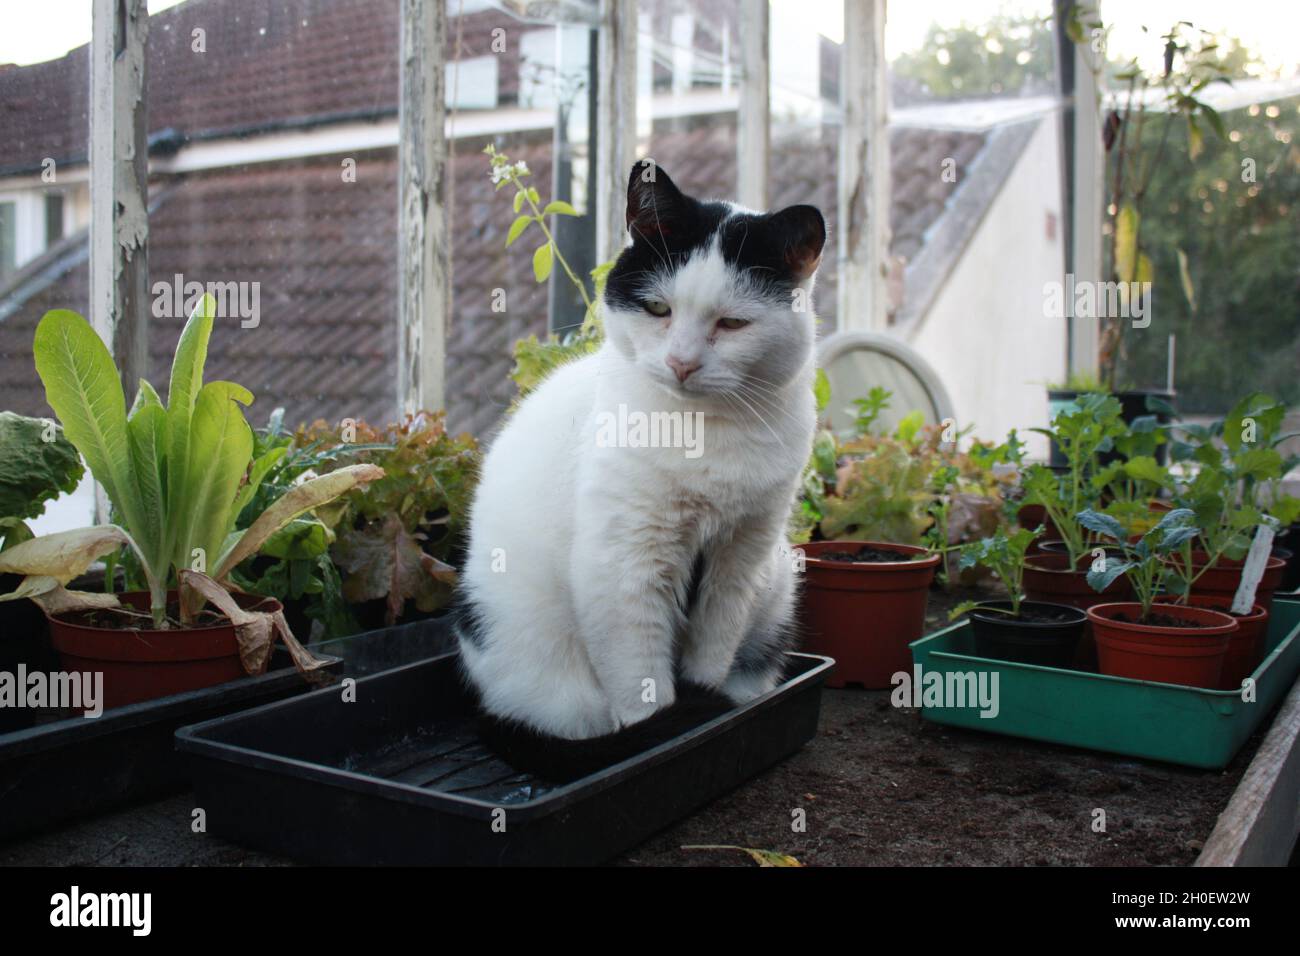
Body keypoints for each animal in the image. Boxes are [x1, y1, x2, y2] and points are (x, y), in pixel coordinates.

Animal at [457, 160, 821, 749]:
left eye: (733, 323)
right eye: (656, 308)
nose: (681, 362)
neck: (703, 433)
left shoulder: (741, 557)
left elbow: (711, 655)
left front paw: (707, 705)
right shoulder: (623, 565)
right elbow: (642, 687)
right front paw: (660, 728)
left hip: (778, 582)